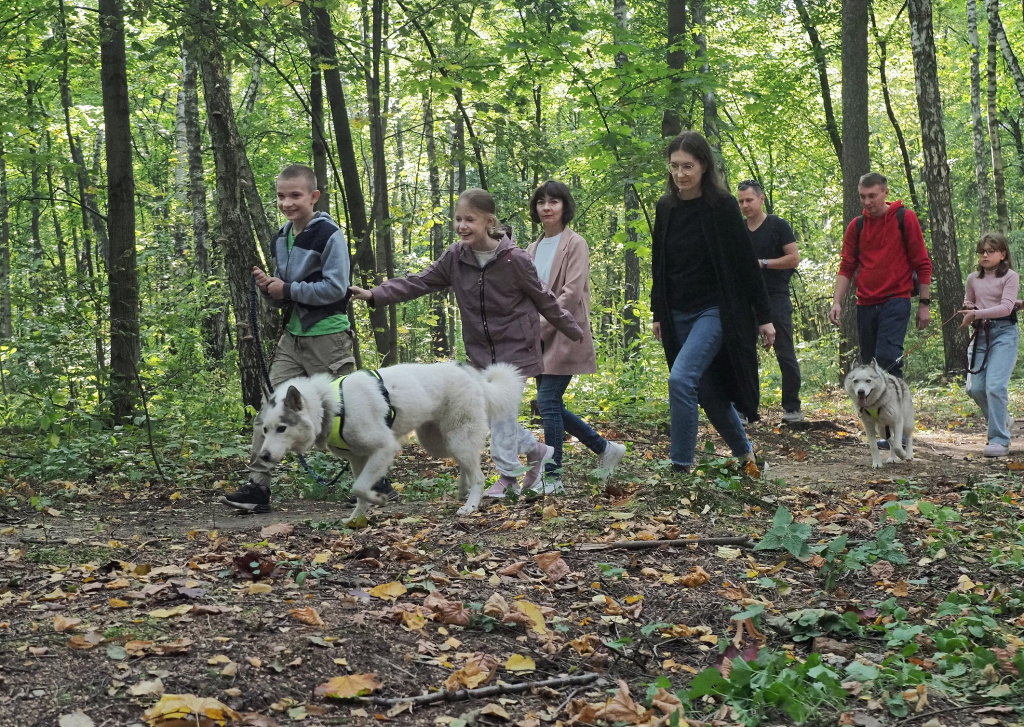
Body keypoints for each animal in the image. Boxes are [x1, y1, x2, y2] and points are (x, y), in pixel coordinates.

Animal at [256, 362, 528, 520]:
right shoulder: (357, 459)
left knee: (479, 474)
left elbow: (359, 488)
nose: (263, 457)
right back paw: (463, 489)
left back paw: (470, 505)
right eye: (266, 430)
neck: (330, 406)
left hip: (457, 436)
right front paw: (356, 518)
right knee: (464, 463)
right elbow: (359, 492)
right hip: (438, 443)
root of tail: (472, 375)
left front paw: (378, 500)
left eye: (282, 428)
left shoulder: (384, 449)